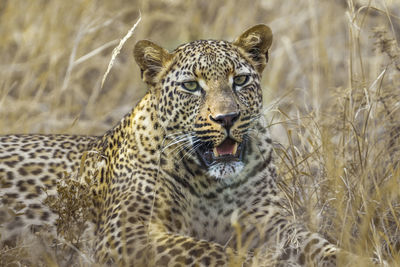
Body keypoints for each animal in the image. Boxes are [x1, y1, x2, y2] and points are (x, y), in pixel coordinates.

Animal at [0, 24, 344, 266]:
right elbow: (208, 251)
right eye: (191, 86)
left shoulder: (271, 222)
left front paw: (347, 256)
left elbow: (315, 244)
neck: (211, 186)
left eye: (240, 81)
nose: (227, 118)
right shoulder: (126, 232)